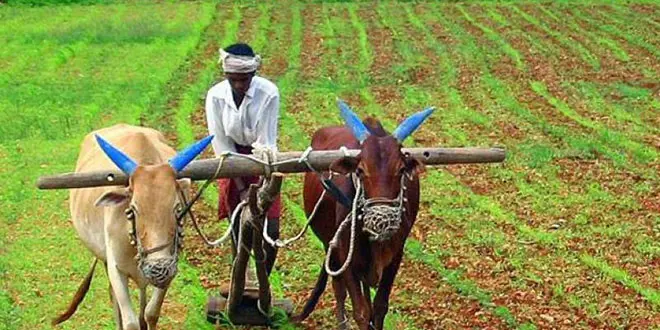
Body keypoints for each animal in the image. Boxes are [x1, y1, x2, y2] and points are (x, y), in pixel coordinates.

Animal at [55, 124, 214, 330]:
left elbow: (151, 313)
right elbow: (130, 322)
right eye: (133, 209)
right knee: (114, 299)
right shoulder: (116, 269)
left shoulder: (171, 268)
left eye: (177, 208)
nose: (158, 268)